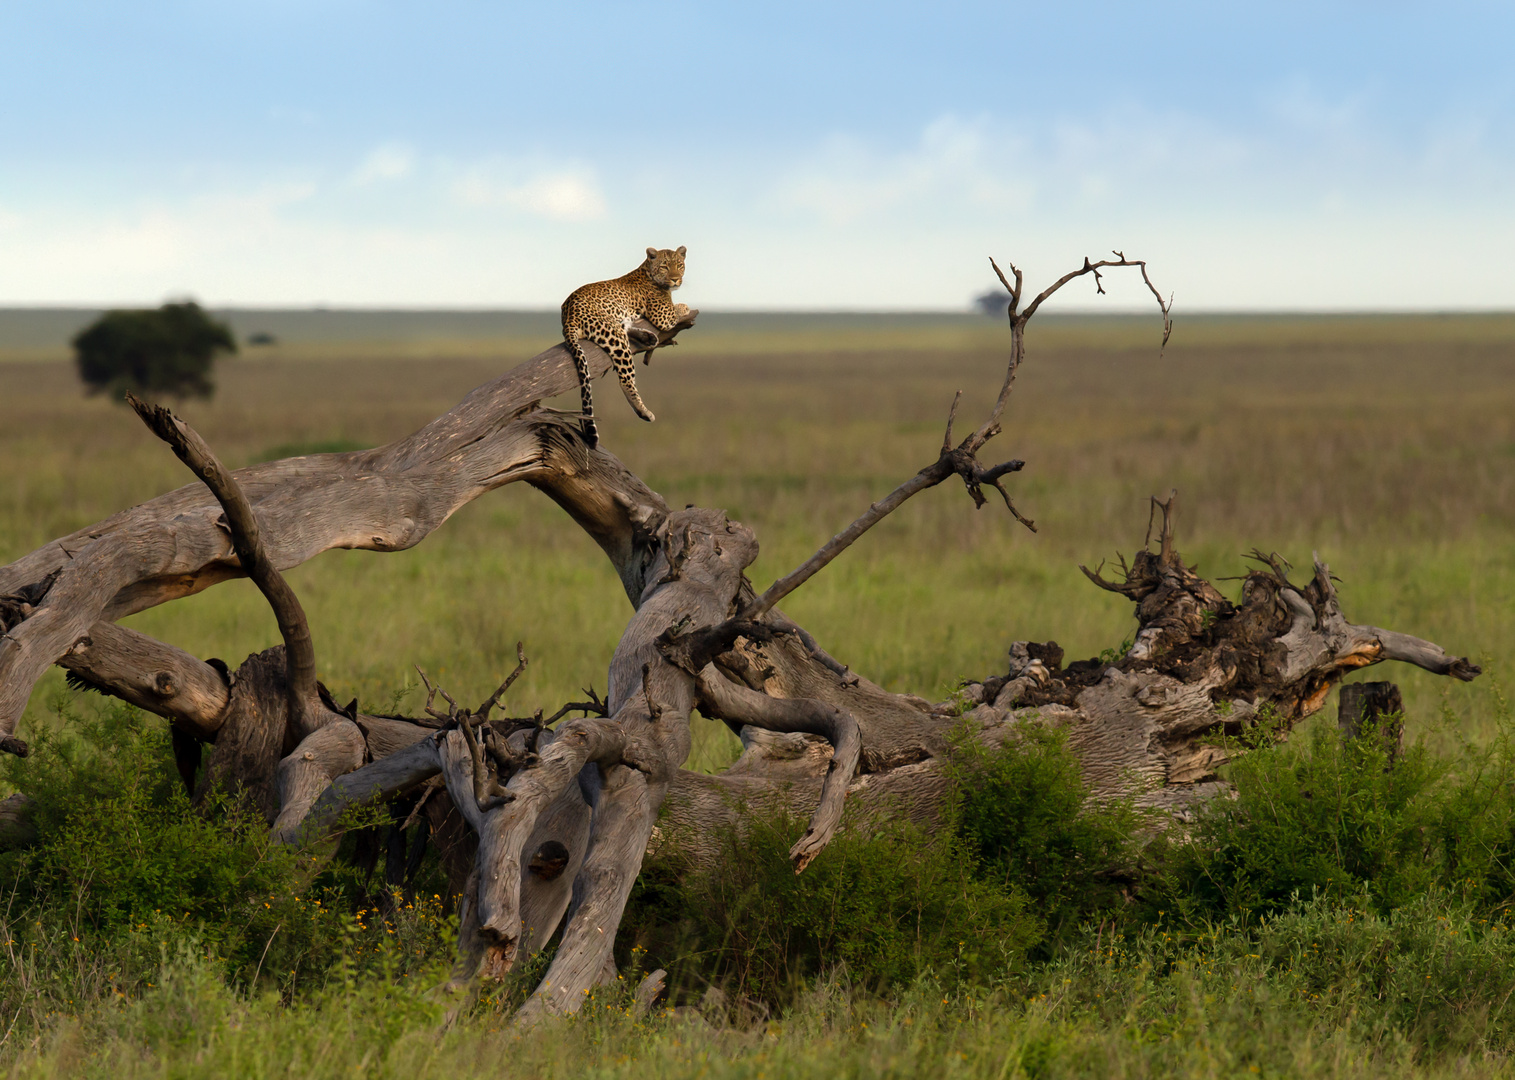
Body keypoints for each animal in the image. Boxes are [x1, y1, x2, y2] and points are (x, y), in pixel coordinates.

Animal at [563, 245, 693, 445]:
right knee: (625, 379)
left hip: (616, 324)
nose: (675, 279)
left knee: (626, 328)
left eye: (679, 265)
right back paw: (643, 411)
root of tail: (568, 314)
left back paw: (648, 338)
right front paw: (685, 306)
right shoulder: (664, 316)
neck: (647, 270)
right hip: (614, 335)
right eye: (665, 266)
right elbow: (678, 308)